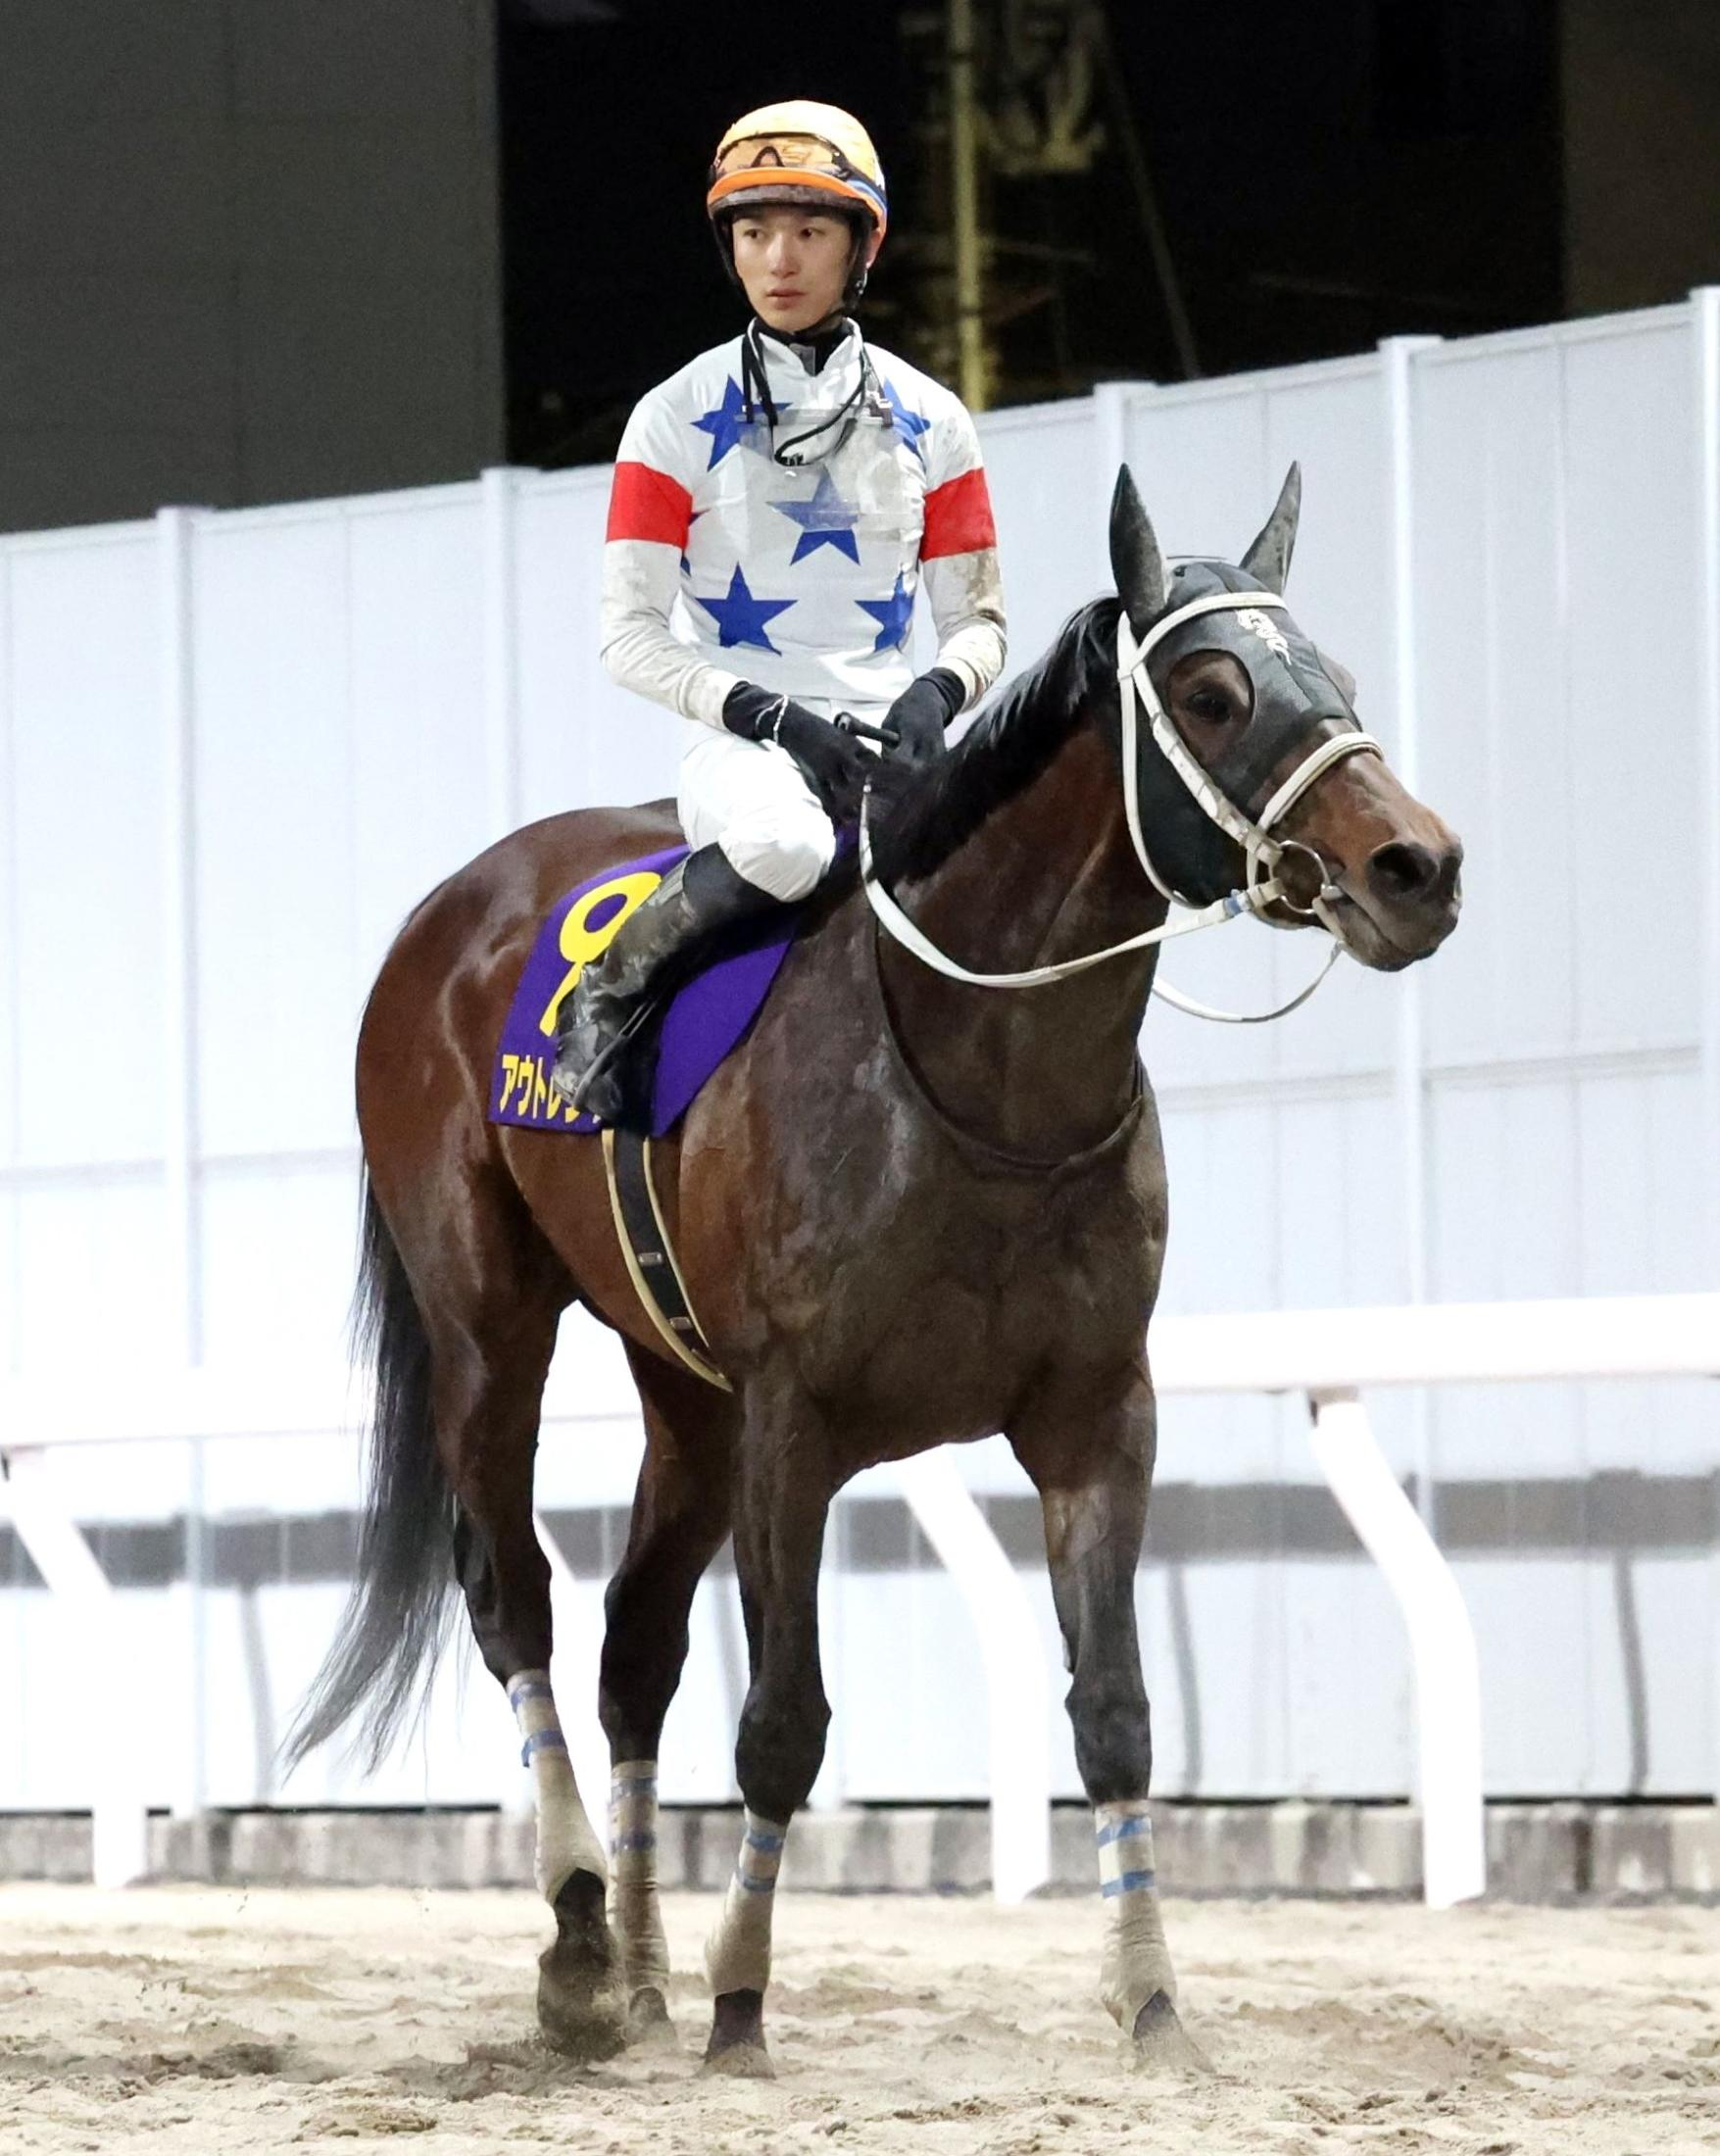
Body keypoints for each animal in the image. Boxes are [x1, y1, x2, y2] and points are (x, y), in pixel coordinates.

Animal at [284, 465, 1462, 2076]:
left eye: (1331, 674)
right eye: (1213, 691)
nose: (1416, 866)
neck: (984, 1074)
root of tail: (445, 912)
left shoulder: (1096, 1411)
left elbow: (1114, 1707)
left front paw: (1153, 2001)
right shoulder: (796, 1422)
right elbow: (784, 1717)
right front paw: (739, 2002)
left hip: (683, 1389)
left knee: (633, 1641)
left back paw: (637, 1971)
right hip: (486, 1320)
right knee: (514, 1594)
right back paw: (583, 1939)